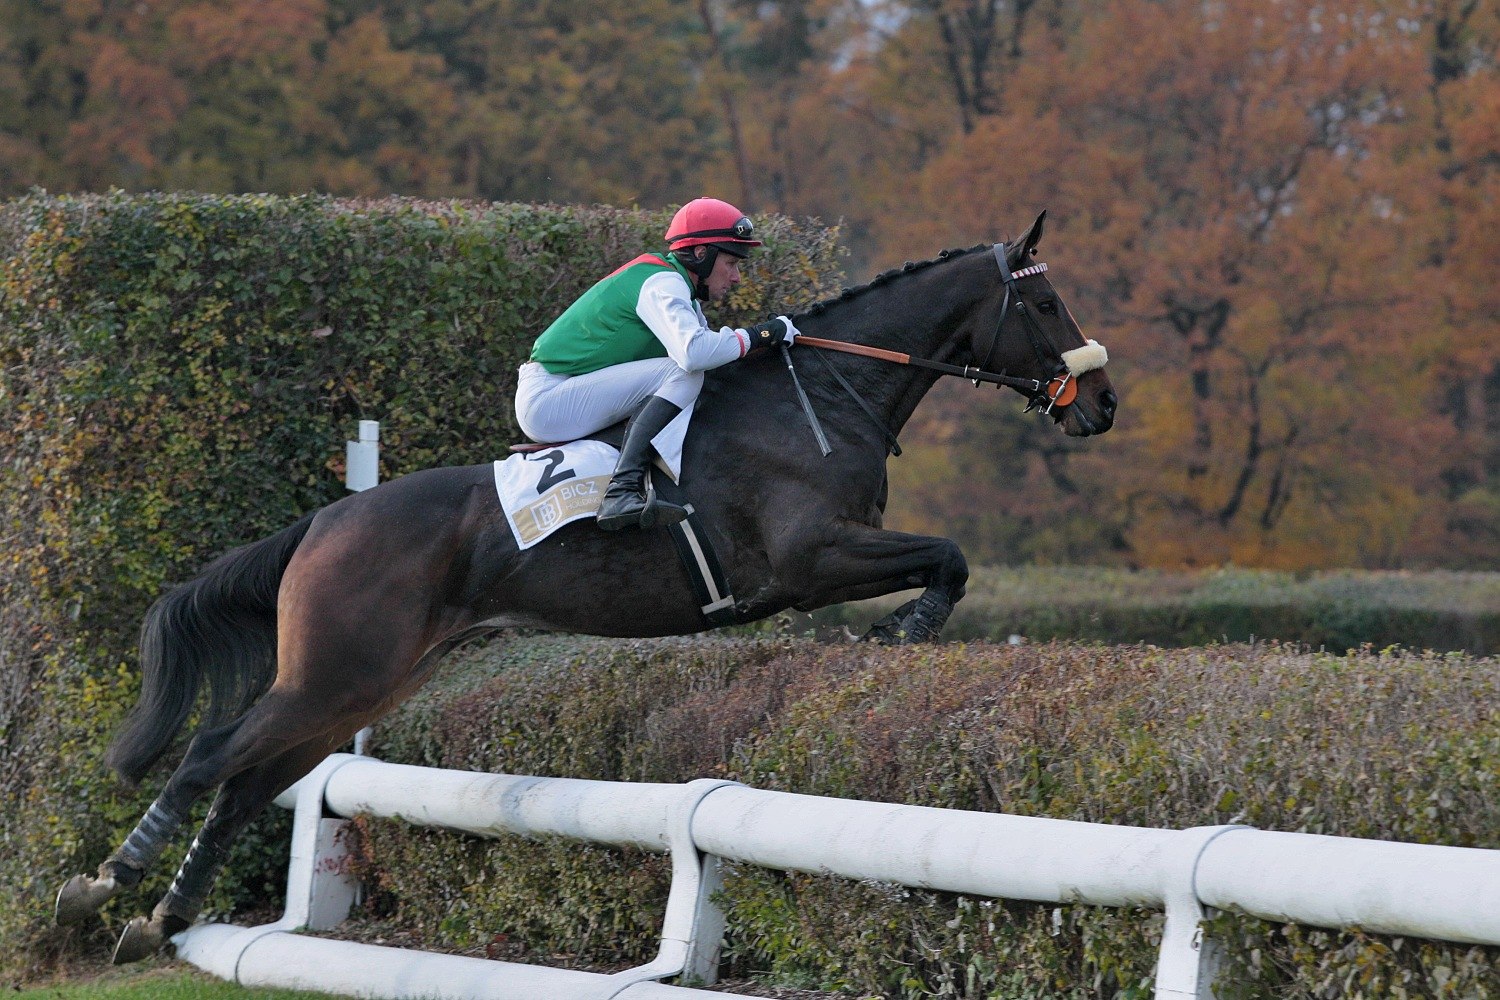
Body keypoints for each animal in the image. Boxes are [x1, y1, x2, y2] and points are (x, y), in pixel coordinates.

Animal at [55, 211, 1116, 962]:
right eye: (1047, 305)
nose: (1101, 404)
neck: (823, 394)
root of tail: (323, 520)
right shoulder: (810, 561)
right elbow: (947, 557)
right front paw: (904, 632)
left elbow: (945, 556)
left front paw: (902, 631)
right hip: (331, 672)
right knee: (209, 758)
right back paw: (103, 887)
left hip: (359, 684)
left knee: (245, 786)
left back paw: (159, 920)